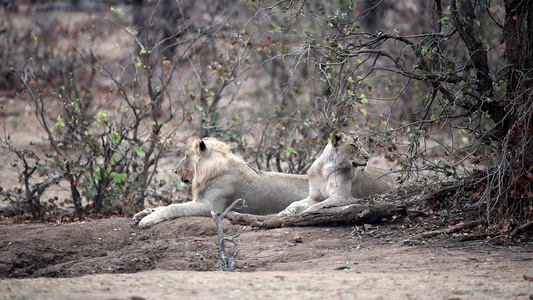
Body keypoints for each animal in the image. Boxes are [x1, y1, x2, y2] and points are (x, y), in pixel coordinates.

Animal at [132, 137, 308, 229]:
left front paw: (147, 220)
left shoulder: (210, 207)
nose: (175, 171)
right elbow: (165, 206)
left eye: (186, 156)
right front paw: (143, 213)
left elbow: (173, 207)